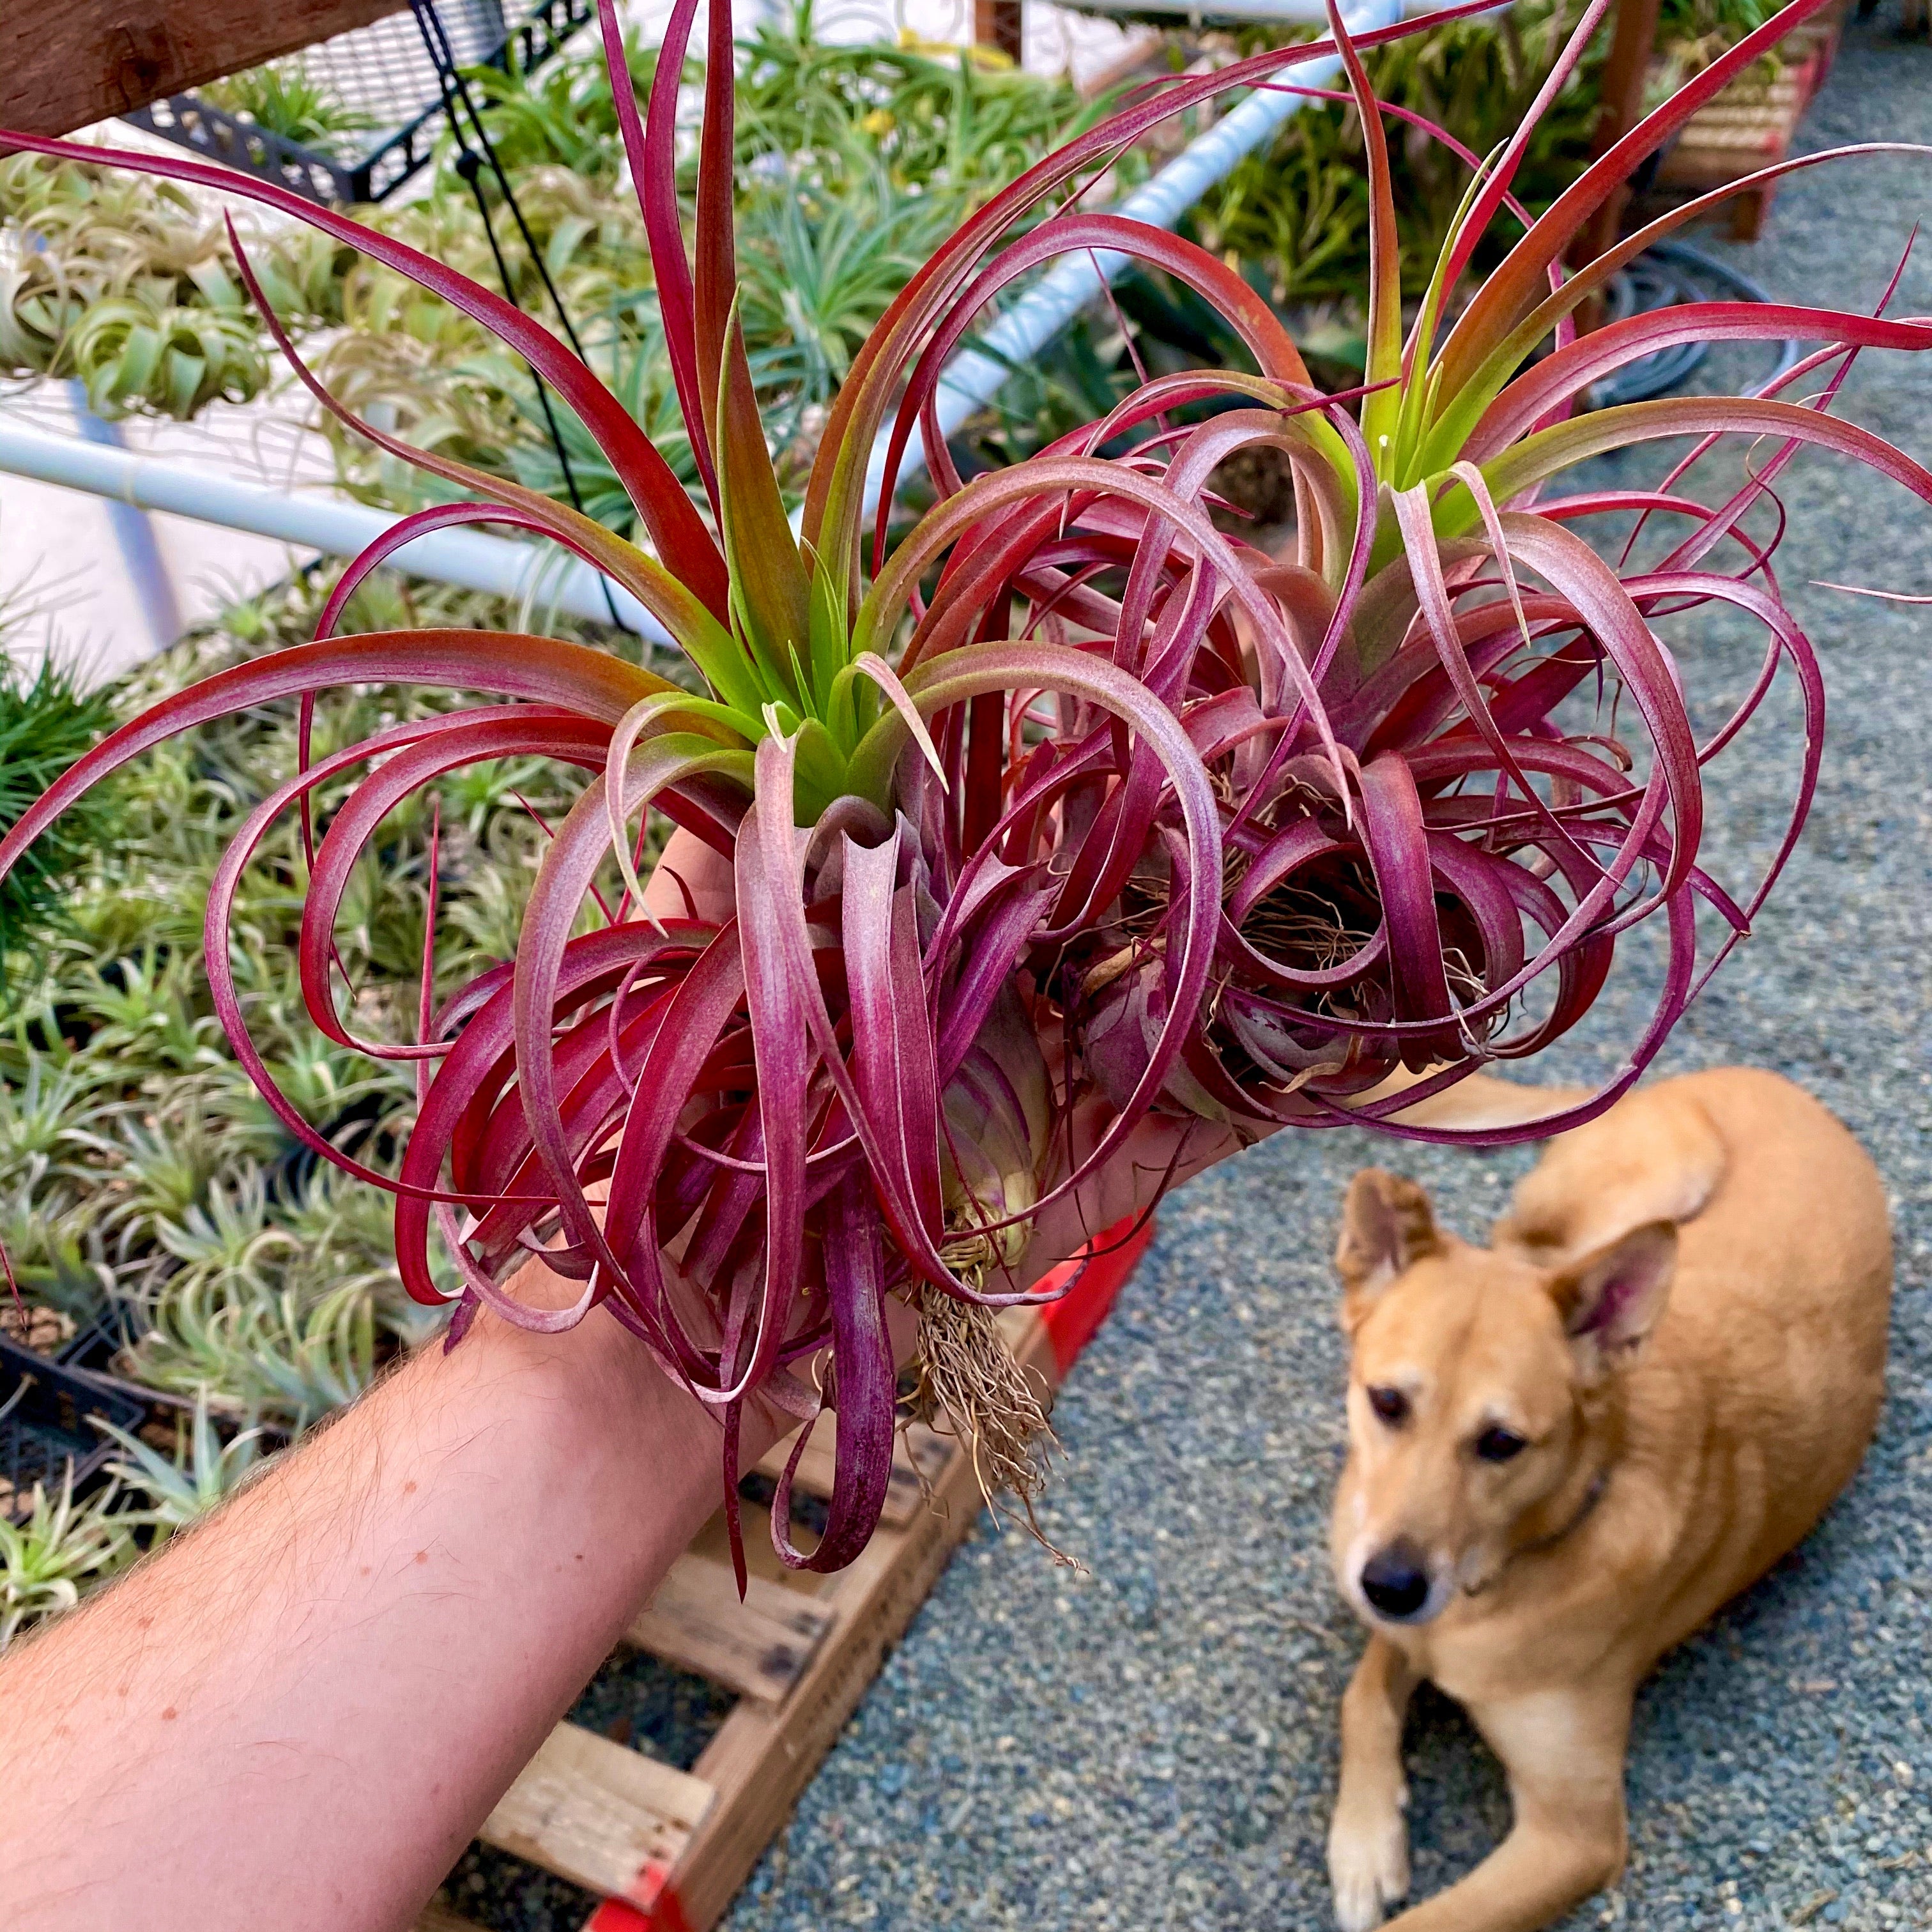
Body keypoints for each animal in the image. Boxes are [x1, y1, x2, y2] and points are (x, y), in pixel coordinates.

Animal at [1329, 1074, 1885, 1932]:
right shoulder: (1398, 1606)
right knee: (1516, 1246)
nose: (1390, 1586)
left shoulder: (1573, 1836)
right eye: (1387, 1402)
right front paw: (1364, 1843)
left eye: (1502, 1443)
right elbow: (1361, 1698)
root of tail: (1758, 1078)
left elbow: (1429, 1920)